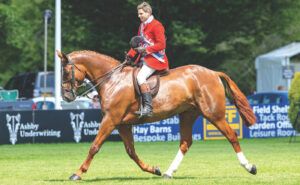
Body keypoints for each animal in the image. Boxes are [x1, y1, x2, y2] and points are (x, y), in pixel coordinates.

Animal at [57, 49, 256, 180]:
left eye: (66, 72)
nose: (66, 97)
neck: (113, 80)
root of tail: (213, 73)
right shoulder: (122, 124)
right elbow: (131, 152)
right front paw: (154, 169)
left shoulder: (111, 120)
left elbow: (94, 147)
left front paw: (78, 173)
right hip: (188, 114)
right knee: (185, 143)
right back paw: (168, 172)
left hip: (214, 114)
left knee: (231, 135)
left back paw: (249, 166)